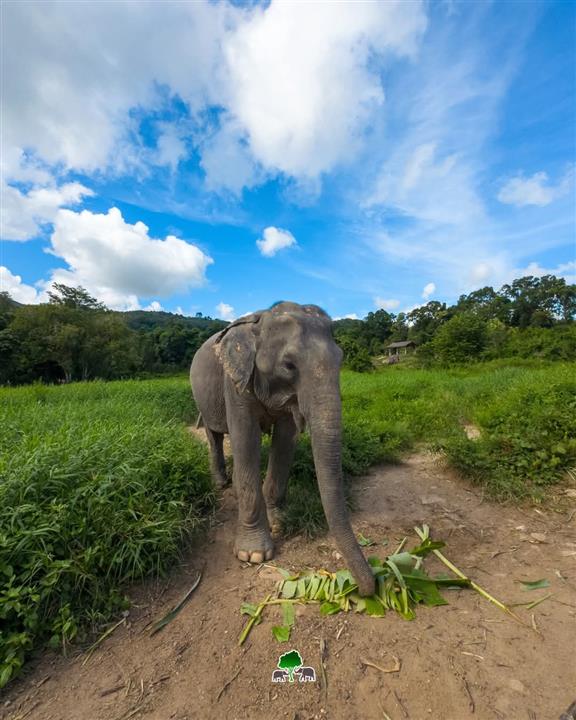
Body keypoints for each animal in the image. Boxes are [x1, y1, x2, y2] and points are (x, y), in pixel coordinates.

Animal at [190, 301, 375, 597]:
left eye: (341, 359)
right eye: (289, 365)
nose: (369, 588)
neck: (262, 319)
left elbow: (285, 439)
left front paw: (278, 520)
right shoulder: (235, 383)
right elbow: (245, 439)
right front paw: (253, 555)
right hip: (203, 398)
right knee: (214, 435)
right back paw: (221, 483)